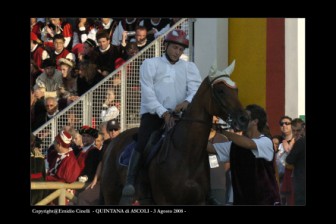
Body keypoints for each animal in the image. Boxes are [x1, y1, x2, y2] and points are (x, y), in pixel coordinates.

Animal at [100, 59, 249, 205]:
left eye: (236, 90)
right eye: (220, 90)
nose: (244, 119)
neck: (186, 153)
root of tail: (113, 143)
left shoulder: (198, 200)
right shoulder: (165, 201)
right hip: (111, 195)